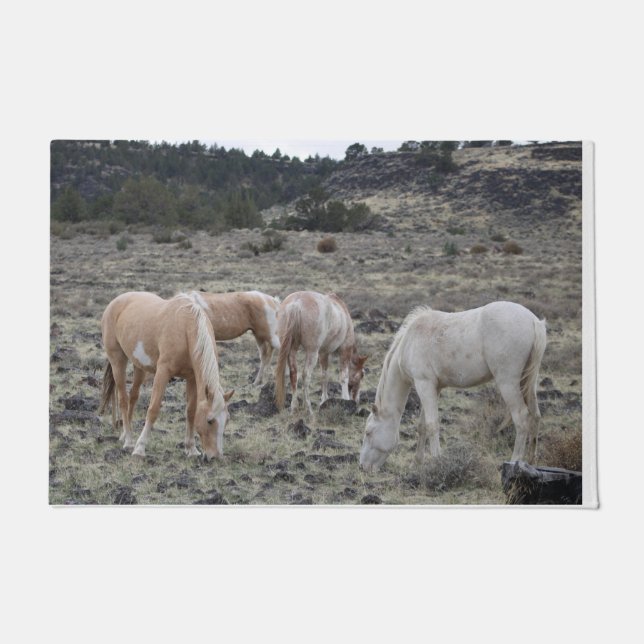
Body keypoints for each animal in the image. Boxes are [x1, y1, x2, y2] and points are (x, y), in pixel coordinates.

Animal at [99, 291, 234, 460]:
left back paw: (125, 434)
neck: (185, 328)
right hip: (118, 361)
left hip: (139, 367)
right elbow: (153, 409)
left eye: (227, 420)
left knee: (133, 396)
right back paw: (129, 441)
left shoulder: (192, 378)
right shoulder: (163, 372)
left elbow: (190, 411)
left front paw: (191, 449)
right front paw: (140, 448)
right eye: (210, 421)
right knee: (123, 399)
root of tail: (115, 301)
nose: (215, 456)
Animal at [359, 301, 547, 472]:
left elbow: (432, 425)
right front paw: (417, 462)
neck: (410, 341)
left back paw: (514, 462)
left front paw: (437, 462)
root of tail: (534, 321)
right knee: (535, 415)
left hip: (508, 383)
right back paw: (531, 461)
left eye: (368, 432)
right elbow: (423, 426)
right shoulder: (433, 388)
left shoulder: (424, 384)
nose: (363, 467)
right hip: (527, 383)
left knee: (521, 417)